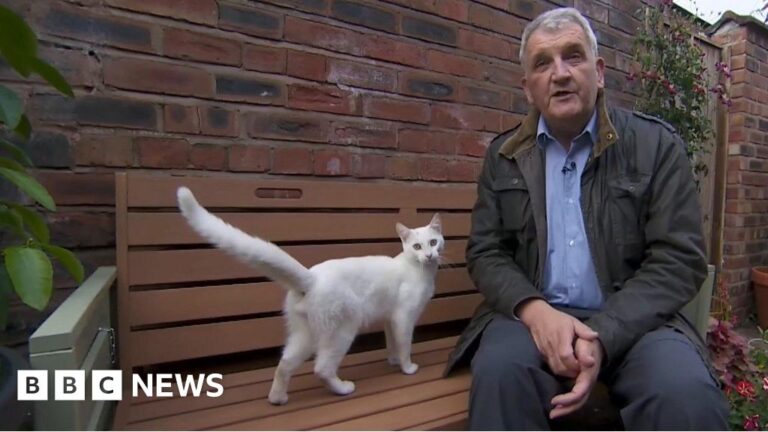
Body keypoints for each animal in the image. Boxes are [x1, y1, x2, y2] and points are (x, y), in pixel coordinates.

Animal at [176, 186, 444, 404]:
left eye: (433, 242)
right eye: (417, 247)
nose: (430, 255)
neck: (418, 269)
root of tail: (311, 277)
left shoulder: (389, 319)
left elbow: (392, 344)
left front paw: (393, 361)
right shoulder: (403, 318)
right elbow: (404, 345)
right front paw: (407, 368)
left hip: (305, 334)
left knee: (284, 363)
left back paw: (278, 398)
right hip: (342, 330)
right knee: (322, 368)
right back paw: (343, 389)